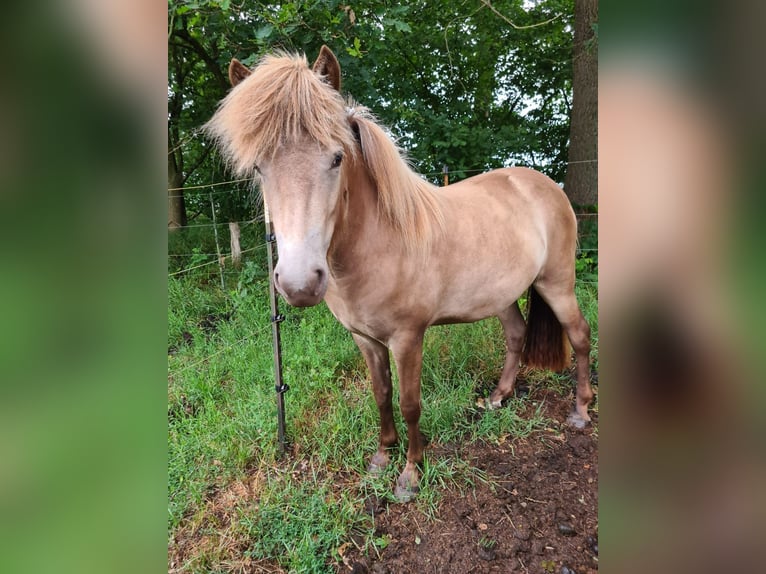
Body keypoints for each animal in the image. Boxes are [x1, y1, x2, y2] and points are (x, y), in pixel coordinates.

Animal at [205, 46, 593, 501]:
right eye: (259, 168)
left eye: (337, 158)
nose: (300, 284)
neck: (379, 244)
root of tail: (545, 185)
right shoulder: (364, 338)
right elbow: (381, 394)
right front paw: (381, 458)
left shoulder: (408, 338)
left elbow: (410, 402)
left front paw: (411, 472)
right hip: (502, 295)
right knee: (516, 336)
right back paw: (498, 397)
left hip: (557, 284)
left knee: (580, 335)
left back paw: (581, 410)